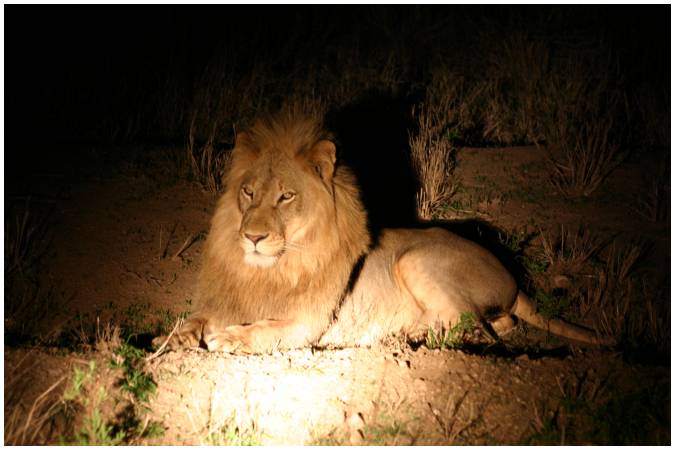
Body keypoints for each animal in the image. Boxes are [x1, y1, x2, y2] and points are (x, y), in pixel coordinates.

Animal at [156, 111, 612, 353]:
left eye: (286, 196)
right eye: (248, 192)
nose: (252, 237)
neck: (270, 268)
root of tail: (514, 278)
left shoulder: (307, 323)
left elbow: (263, 329)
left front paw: (227, 338)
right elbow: (194, 319)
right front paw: (174, 338)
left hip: (415, 260)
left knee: (486, 327)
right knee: (496, 323)